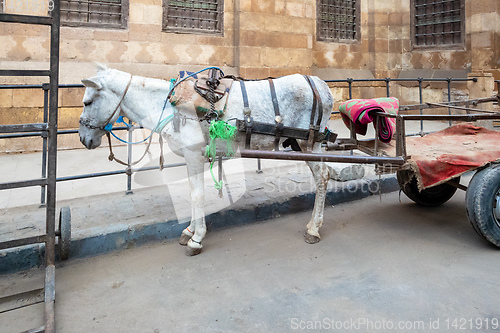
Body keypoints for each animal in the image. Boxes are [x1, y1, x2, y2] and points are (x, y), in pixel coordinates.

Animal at [78, 65, 334, 256]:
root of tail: (321, 86)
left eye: (88, 102)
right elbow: (193, 192)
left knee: (323, 176)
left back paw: (314, 228)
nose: (82, 138)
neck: (172, 104)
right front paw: (190, 231)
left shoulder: (193, 155)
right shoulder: (192, 158)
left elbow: (197, 195)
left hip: (309, 144)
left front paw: (197, 238)